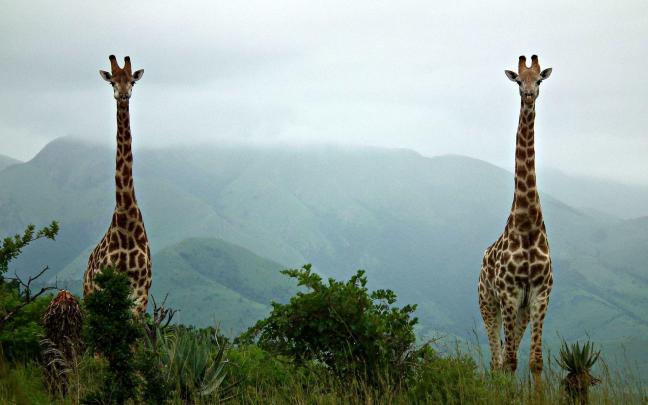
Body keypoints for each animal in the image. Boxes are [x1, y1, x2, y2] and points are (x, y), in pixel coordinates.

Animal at [83, 55, 151, 316]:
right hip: (89, 295)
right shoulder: (105, 291)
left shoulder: (140, 295)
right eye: (112, 81)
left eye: (132, 81)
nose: (123, 95)